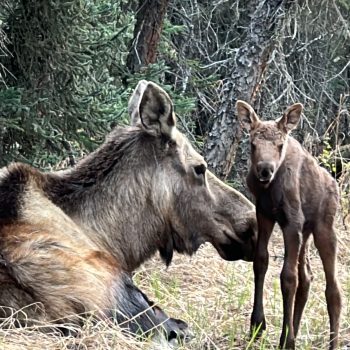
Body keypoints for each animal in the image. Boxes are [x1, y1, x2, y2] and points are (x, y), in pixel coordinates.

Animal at [235, 100, 342, 348]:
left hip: (324, 228)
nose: (265, 170)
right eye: (253, 144)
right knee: (308, 278)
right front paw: (258, 325)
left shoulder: (292, 222)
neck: (270, 189)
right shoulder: (265, 215)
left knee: (333, 289)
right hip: (307, 231)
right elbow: (261, 261)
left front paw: (287, 339)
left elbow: (287, 277)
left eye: (280, 144)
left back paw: (332, 343)